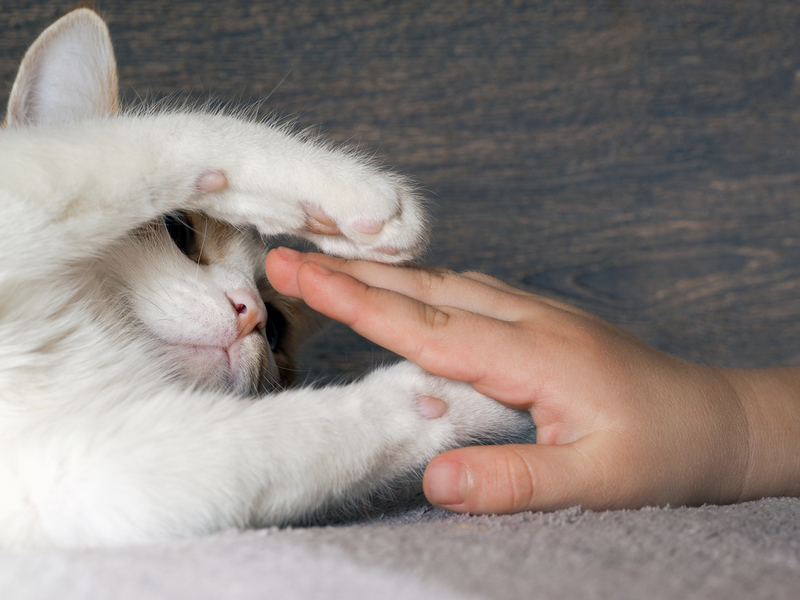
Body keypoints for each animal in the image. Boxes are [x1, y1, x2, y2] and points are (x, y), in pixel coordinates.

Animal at [0, 8, 528, 548]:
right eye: (178, 228)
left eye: (273, 328)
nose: (249, 314)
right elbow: (175, 132)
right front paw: (348, 188)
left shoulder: (76, 475)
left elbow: (294, 438)